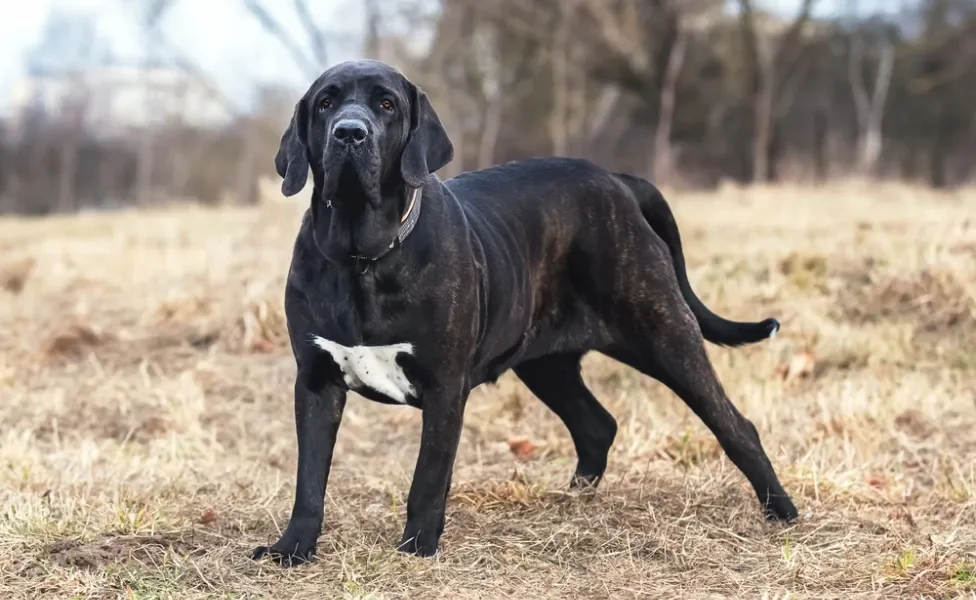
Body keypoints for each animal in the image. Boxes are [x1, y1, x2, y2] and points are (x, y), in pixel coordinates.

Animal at [250, 58, 792, 564]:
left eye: (386, 104)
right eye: (326, 103)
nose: (349, 132)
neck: (363, 257)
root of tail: (617, 180)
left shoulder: (444, 386)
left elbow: (428, 476)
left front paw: (417, 547)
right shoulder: (316, 381)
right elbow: (309, 479)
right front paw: (291, 549)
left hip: (664, 335)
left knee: (735, 426)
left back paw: (782, 511)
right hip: (546, 364)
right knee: (596, 424)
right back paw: (571, 500)